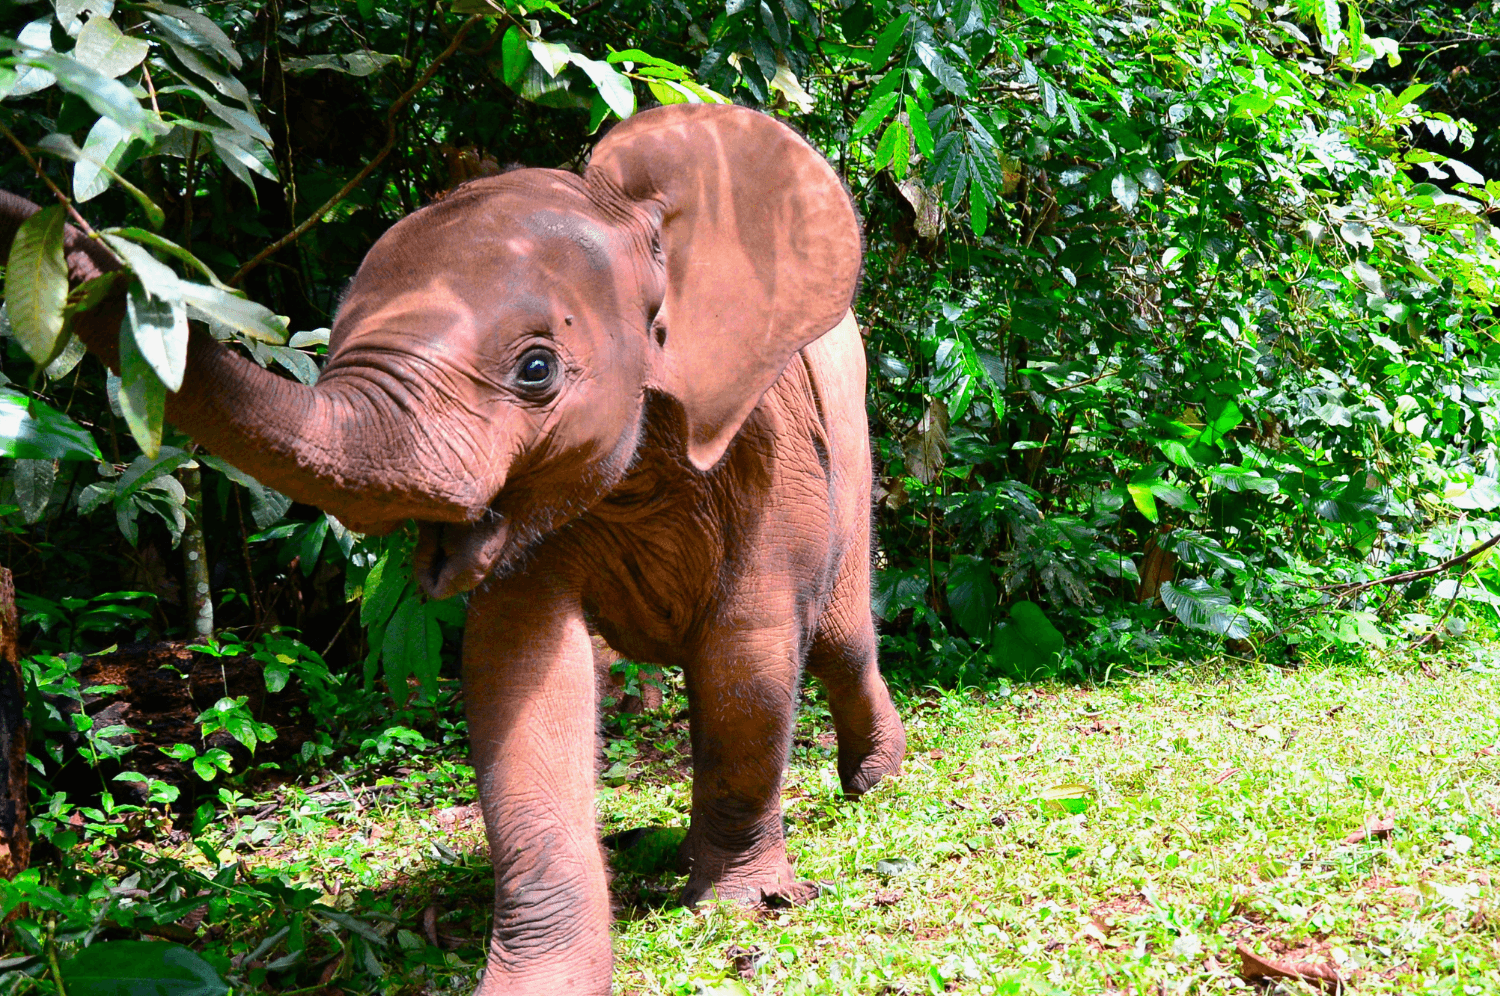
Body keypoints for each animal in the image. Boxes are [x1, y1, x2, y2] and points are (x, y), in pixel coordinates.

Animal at [0, 103, 906, 993]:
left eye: (537, 369)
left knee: (837, 639)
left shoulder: (769, 444)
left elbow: (746, 658)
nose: (60, 230)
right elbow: (519, 674)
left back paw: (875, 783)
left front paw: (740, 906)